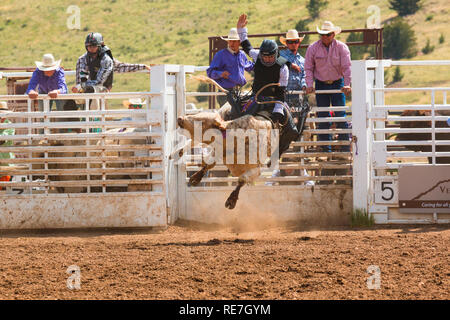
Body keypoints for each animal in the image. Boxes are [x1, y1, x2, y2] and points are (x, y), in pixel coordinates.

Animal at [176, 76, 310, 209]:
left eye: (202, 122)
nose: (180, 118)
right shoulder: (219, 152)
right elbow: (208, 164)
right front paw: (195, 178)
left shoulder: (256, 170)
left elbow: (242, 179)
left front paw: (231, 200)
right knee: (193, 142)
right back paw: (178, 152)